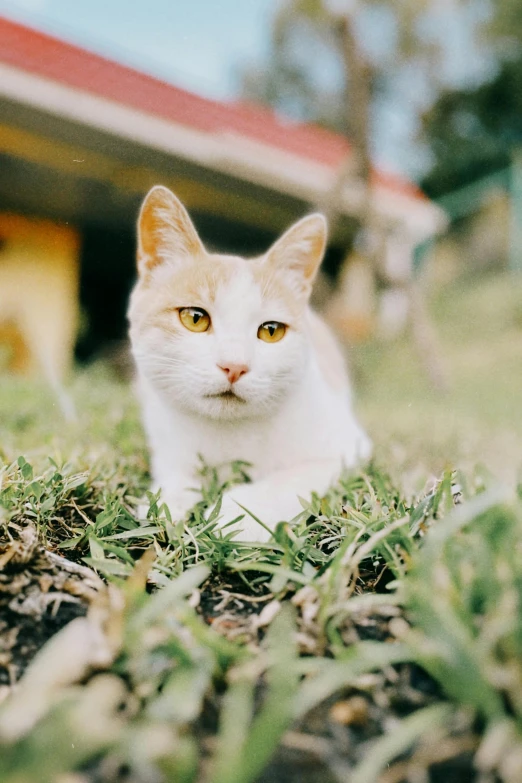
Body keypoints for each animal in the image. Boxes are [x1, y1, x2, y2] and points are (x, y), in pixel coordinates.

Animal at [127, 187, 368, 544]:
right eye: (195, 318)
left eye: (271, 331)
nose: (234, 366)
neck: (228, 435)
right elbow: (176, 471)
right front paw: (169, 498)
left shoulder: (347, 447)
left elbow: (292, 478)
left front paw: (241, 515)